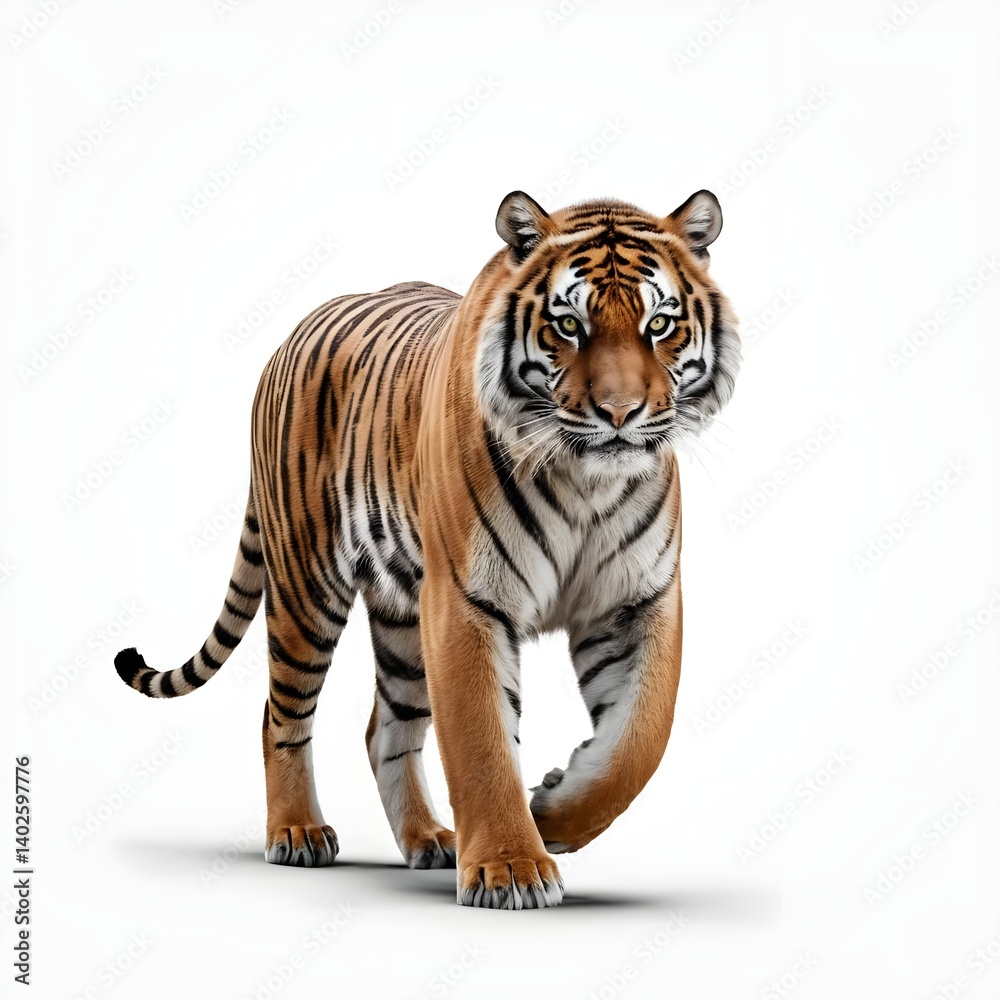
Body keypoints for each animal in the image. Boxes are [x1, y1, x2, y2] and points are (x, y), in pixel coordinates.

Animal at [115, 188, 740, 909]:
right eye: (569, 325)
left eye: (659, 325)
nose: (619, 413)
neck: (587, 481)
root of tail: (291, 336)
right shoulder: (468, 602)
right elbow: (481, 741)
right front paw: (511, 868)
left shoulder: (638, 601)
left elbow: (642, 737)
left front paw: (554, 811)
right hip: (307, 585)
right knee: (280, 712)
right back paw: (297, 832)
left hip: (402, 616)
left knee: (383, 728)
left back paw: (427, 838)